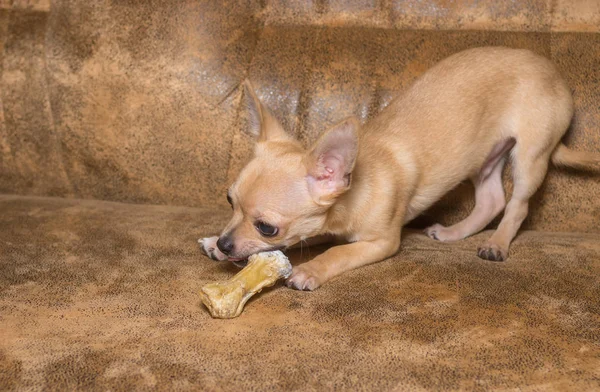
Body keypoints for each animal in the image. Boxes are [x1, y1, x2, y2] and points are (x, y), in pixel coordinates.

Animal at [202, 46, 600, 290]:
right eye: (229, 201)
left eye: (267, 227)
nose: (224, 242)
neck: (357, 183)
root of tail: (555, 74)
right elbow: (313, 237)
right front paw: (214, 245)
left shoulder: (382, 242)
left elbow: (338, 252)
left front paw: (310, 269)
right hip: (484, 156)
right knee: (491, 200)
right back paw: (454, 233)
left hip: (530, 156)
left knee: (516, 205)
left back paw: (497, 243)